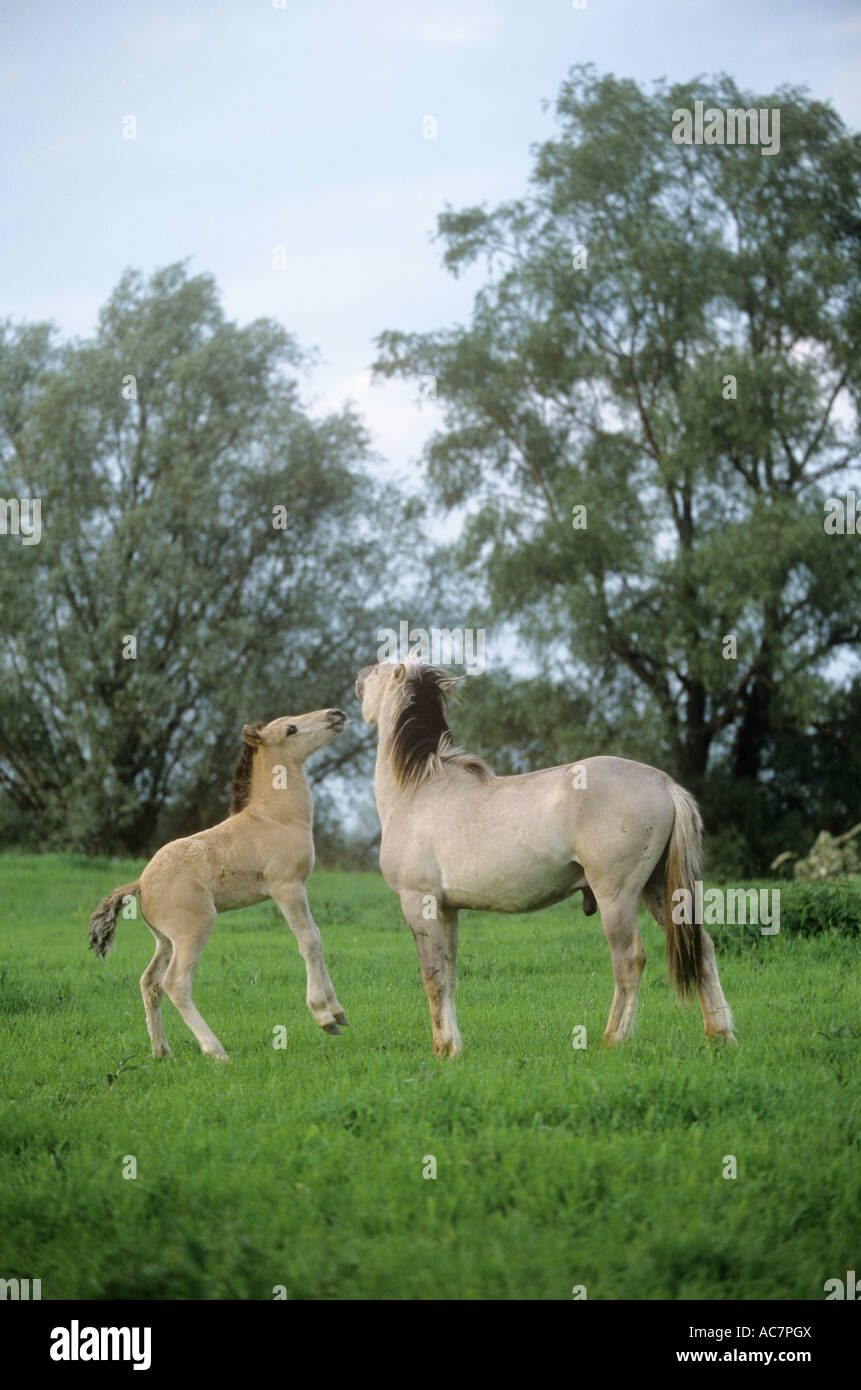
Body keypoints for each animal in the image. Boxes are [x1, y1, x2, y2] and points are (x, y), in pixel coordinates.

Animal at [356, 658, 734, 1050]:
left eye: (380, 670)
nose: (358, 677)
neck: (419, 789)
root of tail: (665, 784)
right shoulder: (447, 909)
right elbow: (449, 975)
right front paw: (453, 1047)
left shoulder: (418, 901)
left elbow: (432, 977)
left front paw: (443, 1050)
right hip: (658, 889)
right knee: (703, 948)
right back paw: (720, 1035)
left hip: (617, 896)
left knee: (630, 960)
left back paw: (612, 1040)